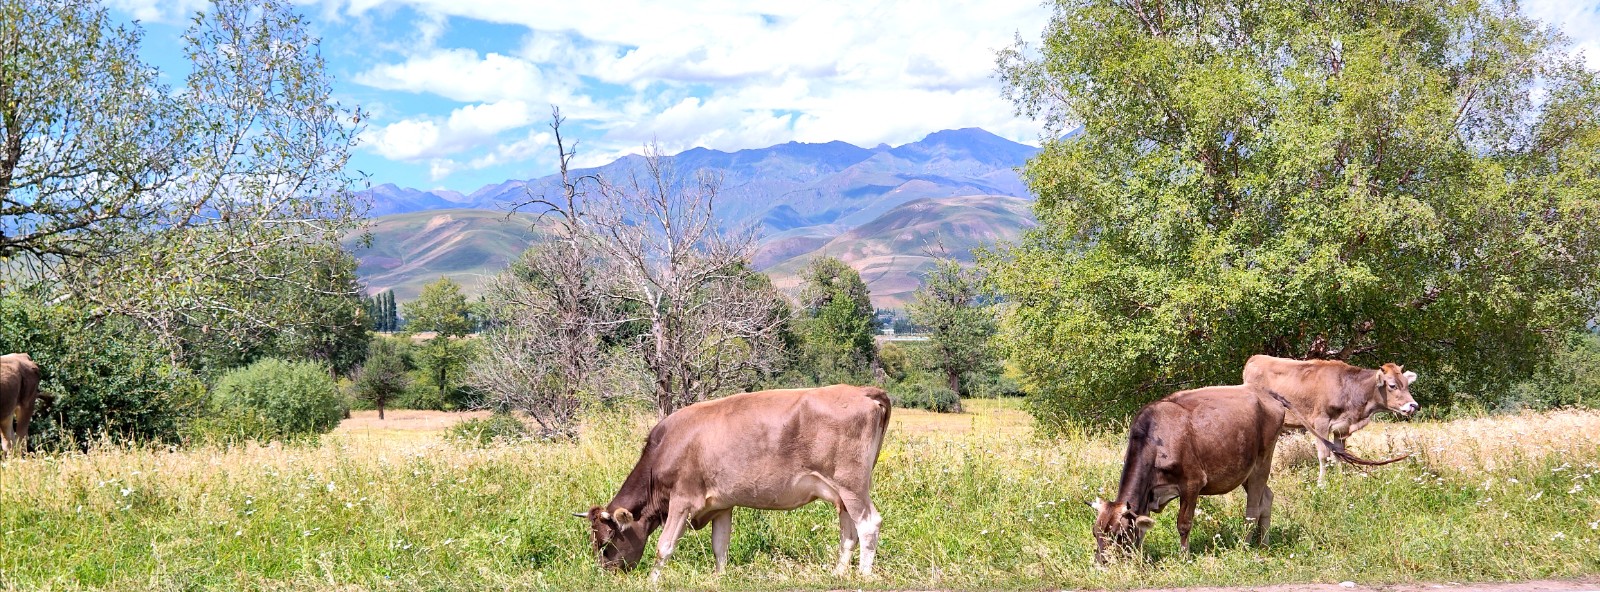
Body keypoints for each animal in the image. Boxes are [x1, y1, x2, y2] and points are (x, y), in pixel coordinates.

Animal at [579, 384, 902, 582]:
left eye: (606, 543)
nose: (606, 574)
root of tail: (861, 391)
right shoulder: (722, 504)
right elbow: (720, 545)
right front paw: (720, 577)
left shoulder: (682, 500)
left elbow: (665, 546)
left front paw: (652, 580)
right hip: (842, 491)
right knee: (848, 529)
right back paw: (838, 573)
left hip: (851, 484)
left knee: (868, 523)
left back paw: (863, 575)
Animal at [1241, 353, 1420, 483]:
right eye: (1392, 385)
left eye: (1407, 384)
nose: (1414, 405)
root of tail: (1255, 358)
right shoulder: (1320, 423)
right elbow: (1324, 455)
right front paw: (1322, 483)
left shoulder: (1342, 428)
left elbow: (1338, 455)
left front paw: (1341, 480)